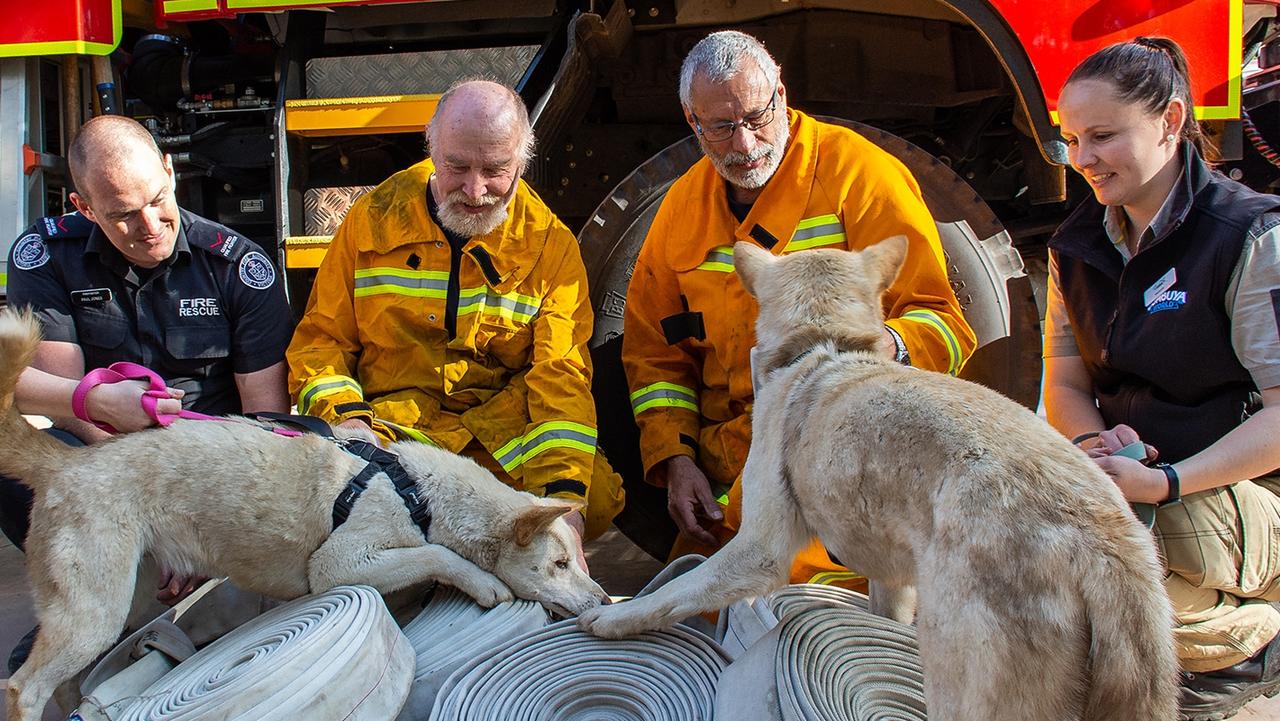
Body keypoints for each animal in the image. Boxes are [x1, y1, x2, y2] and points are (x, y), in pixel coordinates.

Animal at [0, 313, 606, 721]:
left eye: (576, 561)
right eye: (558, 565)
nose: (604, 601)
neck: (419, 490)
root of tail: (66, 462)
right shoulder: (337, 564)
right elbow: (435, 553)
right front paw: (480, 582)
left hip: (126, 599)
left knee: (68, 684)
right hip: (94, 611)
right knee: (23, 689)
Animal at [583, 239, 1177, 717]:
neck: (824, 348)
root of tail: (1102, 546)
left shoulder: (760, 549)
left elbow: (677, 590)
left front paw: (617, 617)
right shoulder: (891, 578)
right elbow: (881, 617)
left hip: (959, 678)